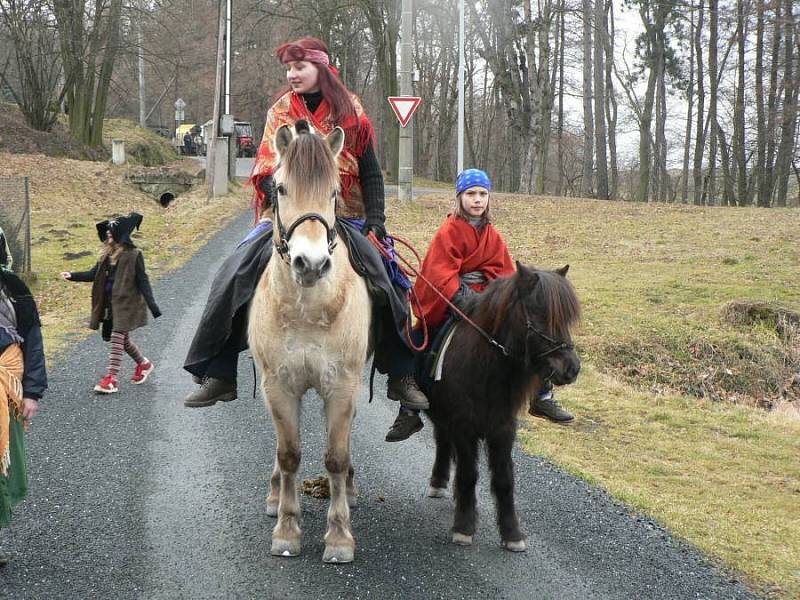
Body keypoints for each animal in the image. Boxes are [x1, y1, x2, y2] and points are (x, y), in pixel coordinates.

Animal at [248, 120, 370, 564]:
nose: (312, 264)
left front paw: (339, 536)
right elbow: (289, 455)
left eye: (334, 192)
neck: (307, 310)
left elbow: (336, 456)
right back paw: (273, 494)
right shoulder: (280, 387)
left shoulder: (342, 386)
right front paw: (286, 529)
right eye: (280, 188)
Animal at [424, 262, 580, 552]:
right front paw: (464, 527)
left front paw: (512, 533)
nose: (571, 369)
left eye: (566, 318)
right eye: (540, 314)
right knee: (442, 440)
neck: (487, 369)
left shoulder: (503, 429)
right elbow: (469, 475)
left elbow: (505, 480)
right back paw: (438, 483)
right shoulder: (464, 427)